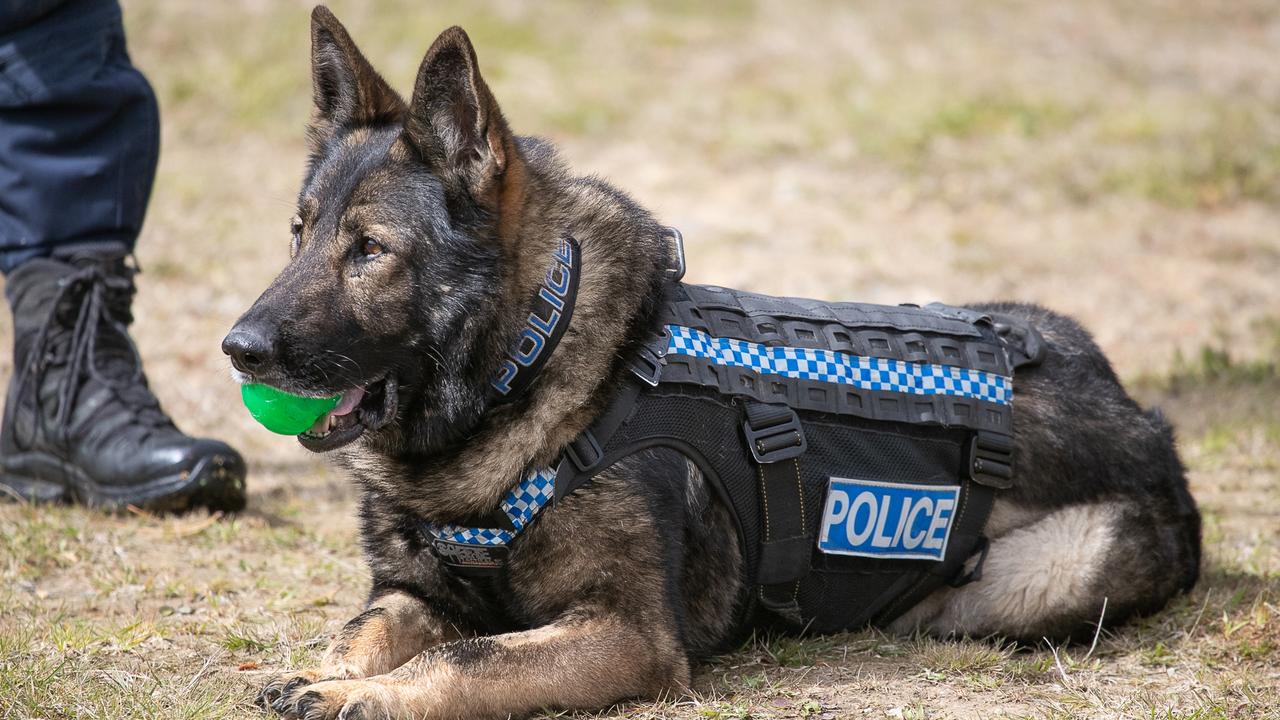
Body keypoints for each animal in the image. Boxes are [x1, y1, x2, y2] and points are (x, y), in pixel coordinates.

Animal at [225, 7, 1203, 717]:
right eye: (299, 234)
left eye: (370, 250)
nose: (238, 348)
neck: (531, 370)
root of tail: (1140, 413)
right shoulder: (414, 596)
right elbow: (359, 631)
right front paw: (327, 673)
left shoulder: (626, 635)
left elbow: (467, 659)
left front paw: (358, 697)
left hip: (1040, 576)